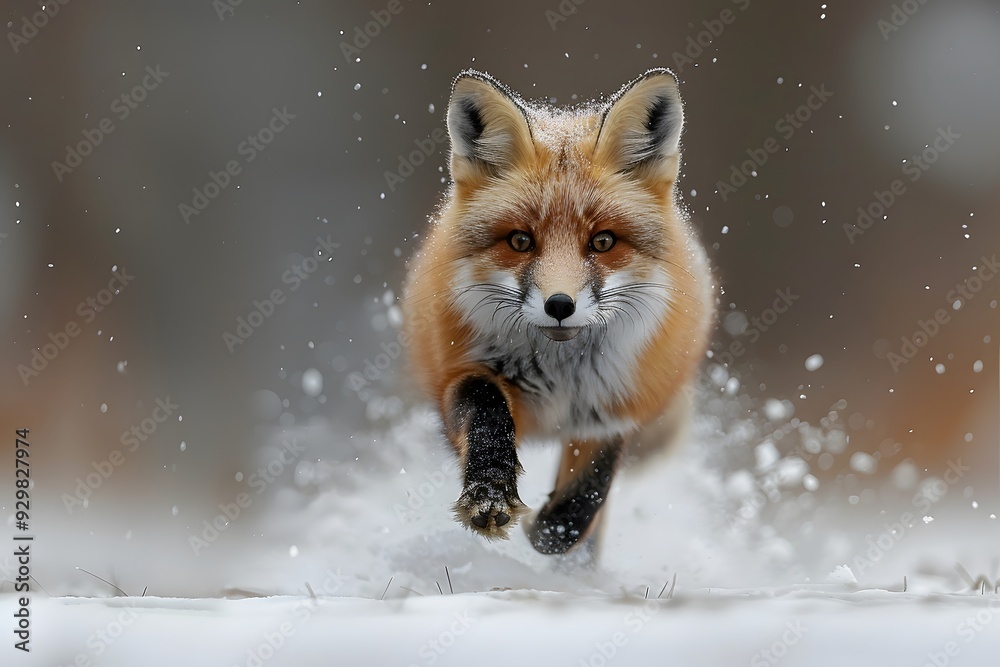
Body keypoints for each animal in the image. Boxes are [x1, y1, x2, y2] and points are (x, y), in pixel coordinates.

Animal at [401, 68, 715, 556]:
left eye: (603, 241)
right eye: (520, 241)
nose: (560, 305)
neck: (559, 375)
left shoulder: (614, 405)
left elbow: (591, 485)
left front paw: (555, 532)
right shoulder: (455, 375)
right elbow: (485, 409)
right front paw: (490, 495)